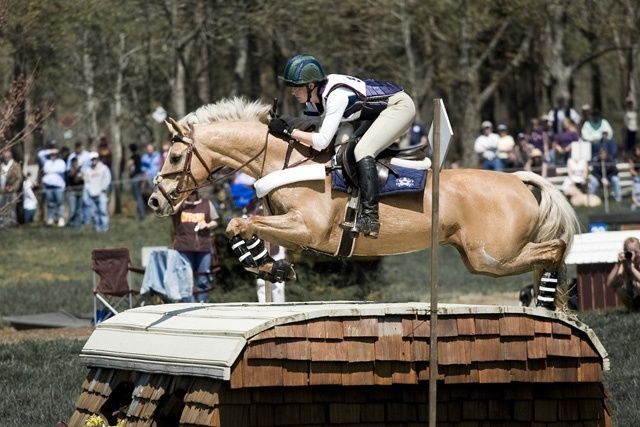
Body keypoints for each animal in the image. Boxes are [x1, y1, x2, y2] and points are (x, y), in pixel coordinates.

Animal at [149, 98, 580, 310]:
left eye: (174, 157)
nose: (154, 201)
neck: (286, 163)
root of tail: (518, 179)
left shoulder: (307, 229)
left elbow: (239, 224)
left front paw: (269, 266)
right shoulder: (290, 228)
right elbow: (246, 228)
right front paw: (272, 266)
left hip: (492, 255)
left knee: (554, 248)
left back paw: (549, 302)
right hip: (484, 257)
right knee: (548, 253)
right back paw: (547, 303)